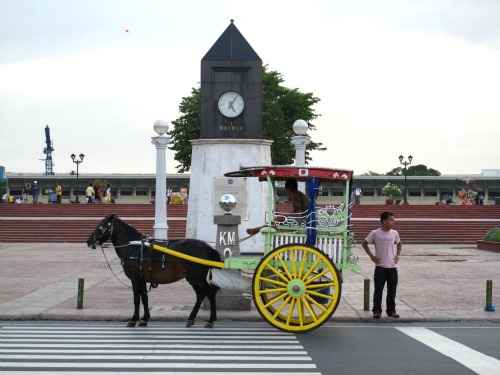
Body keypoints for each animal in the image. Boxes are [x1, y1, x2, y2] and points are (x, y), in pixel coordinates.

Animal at [87, 216, 220, 328]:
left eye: (101, 227)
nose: (89, 241)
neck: (134, 247)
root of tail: (208, 247)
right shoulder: (142, 279)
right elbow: (144, 297)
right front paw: (144, 319)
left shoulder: (135, 279)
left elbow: (136, 298)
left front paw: (133, 320)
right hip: (193, 279)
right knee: (201, 295)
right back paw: (191, 319)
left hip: (196, 278)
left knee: (209, 293)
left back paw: (210, 320)